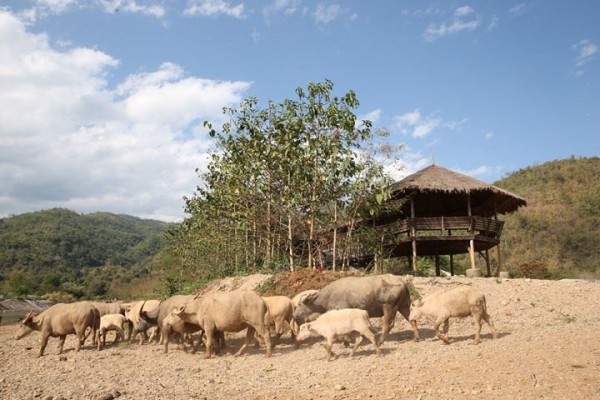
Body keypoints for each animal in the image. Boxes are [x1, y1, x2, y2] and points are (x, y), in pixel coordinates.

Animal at [292, 274, 420, 346]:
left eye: (300, 304)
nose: (294, 314)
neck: (327, 298)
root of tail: (403, 283)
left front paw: (346, 342)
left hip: (389, 306)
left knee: (389, 324)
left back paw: (380, 341)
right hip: (403, 305)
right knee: (412, 320)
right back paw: (416, 338)